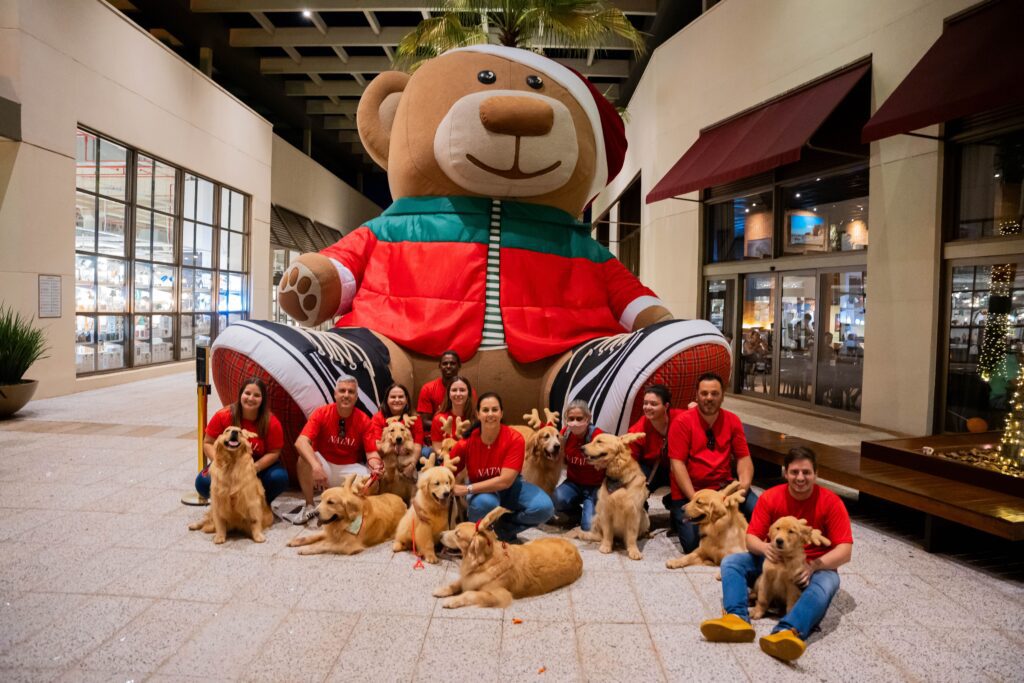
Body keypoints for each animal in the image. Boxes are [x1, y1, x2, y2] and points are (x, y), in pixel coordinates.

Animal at [430, 507, 585, 610]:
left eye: (457, 534)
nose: (440, 534)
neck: (484, 563)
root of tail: (575, 548)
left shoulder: (500, 595)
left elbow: (470, 593)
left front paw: (452, 601)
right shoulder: (469, 578)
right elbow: (457, 583)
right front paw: (443, 590)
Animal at [569, 432, 647, 561]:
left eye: (599, 441)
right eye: (593, 440)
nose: (581, 448)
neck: (618, 477)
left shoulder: (634, 512)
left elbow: (631, 536)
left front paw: (633, 550)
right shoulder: (606, 510)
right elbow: (607, 532)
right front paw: (606, 546)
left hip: (645, 517)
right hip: (597, 515)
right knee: (599, 535)